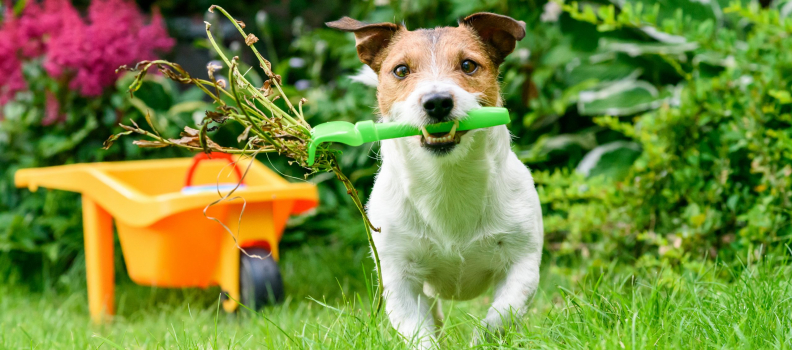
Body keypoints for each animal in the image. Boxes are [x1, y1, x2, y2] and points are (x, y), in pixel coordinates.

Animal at [324, 13, 540, 348]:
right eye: (401, 70)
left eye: (468, 65)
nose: (437, 101)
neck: (447, 181)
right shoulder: (399, 278)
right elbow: (418, 331)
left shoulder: (523, 262)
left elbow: (499, 318)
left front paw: (481, 340)